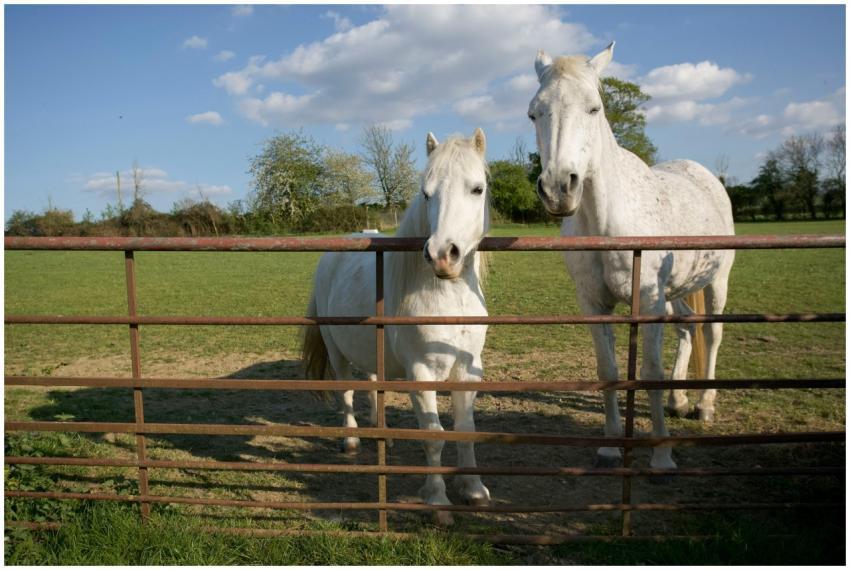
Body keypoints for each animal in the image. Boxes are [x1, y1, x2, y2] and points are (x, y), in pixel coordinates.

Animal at [302, 129, 492, 523]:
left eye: (477, 188)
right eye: (426, 192)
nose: (442, 254)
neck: (448, 297)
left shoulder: (468, 369)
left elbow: (465, 429)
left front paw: (474, 490)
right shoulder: (422, 372)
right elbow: (434, 435)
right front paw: (438, 503)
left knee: (374, 383)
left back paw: (383, 433)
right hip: (336, 351)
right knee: (346, 392)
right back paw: (352, 440)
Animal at [528, 43, 735, 470]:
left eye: (594, 108)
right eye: (533, 113)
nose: (558, 189)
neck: (606, 221)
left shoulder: (648, 300)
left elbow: (650, 369)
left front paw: (662, 454)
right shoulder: (594, 303)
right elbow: (607, 368)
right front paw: (609, 446)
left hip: (716, 282)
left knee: (712, 333)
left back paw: (704, 406)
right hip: (674, 295)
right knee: (687, 330)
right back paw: (678, 400)